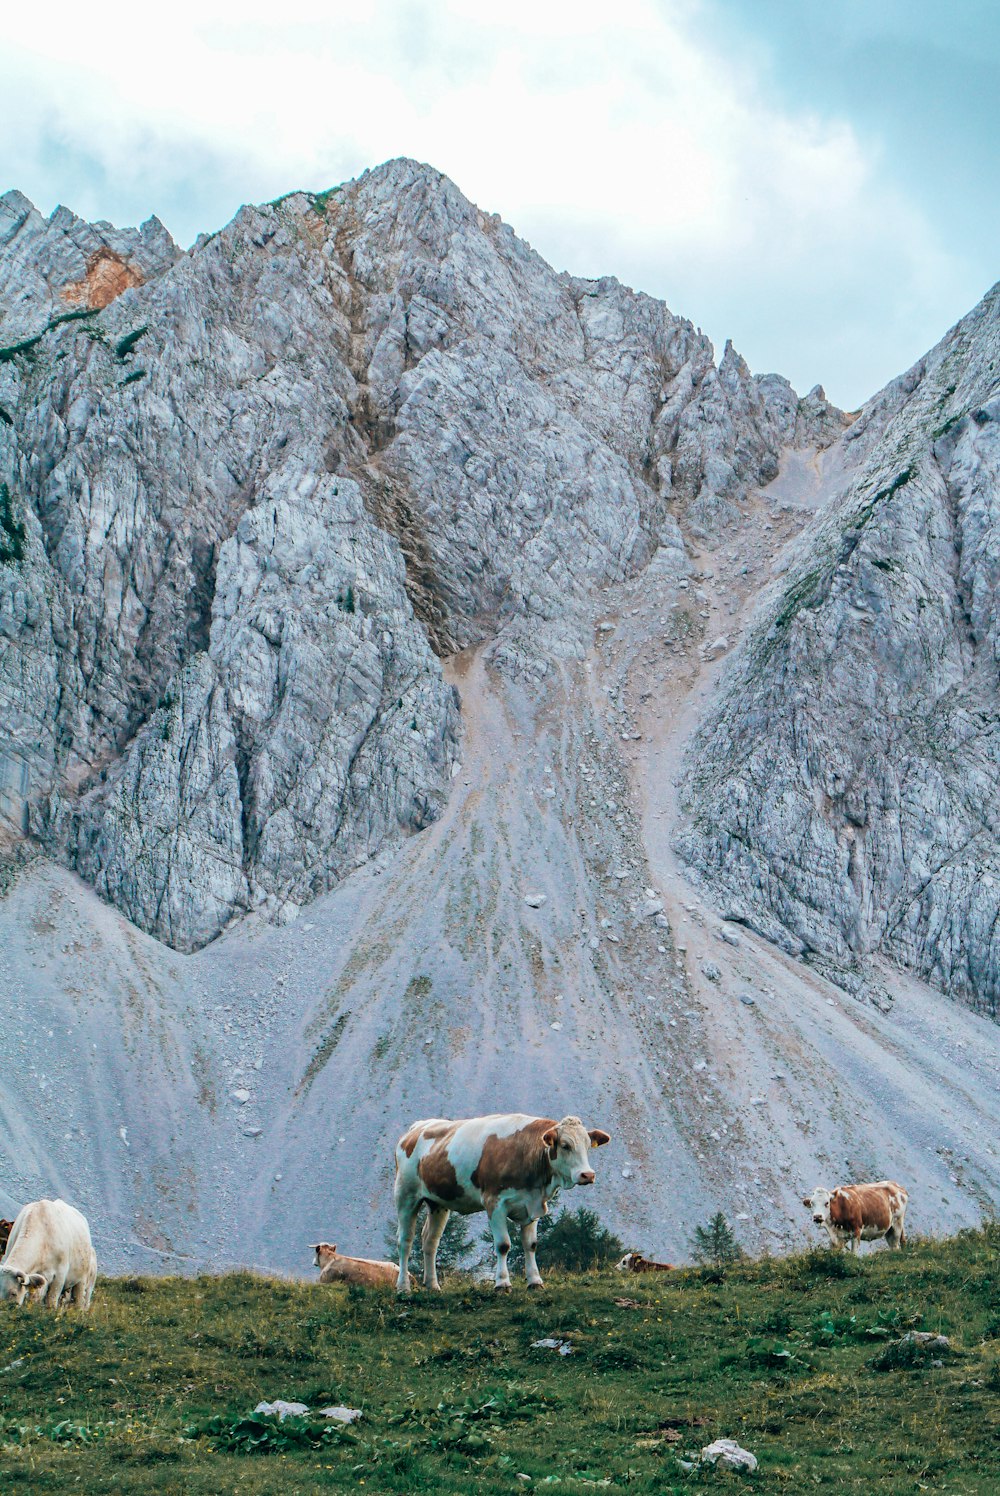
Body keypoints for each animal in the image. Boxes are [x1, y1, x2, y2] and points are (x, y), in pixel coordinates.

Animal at [389, 1113, 610, 1298]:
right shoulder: (494, 1204)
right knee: (405, 1241)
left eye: (588, 1145)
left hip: (438, 1203)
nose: (587, 1175)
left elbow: (531, 1245)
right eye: (565, 1145)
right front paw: (502, 1284)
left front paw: (535, 1281)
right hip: (405, 1195)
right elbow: (503, 1245)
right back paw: (403, 1287)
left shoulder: (532, 1205)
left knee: (430, 1241)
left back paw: (432, 1285)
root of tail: (418, 1127)